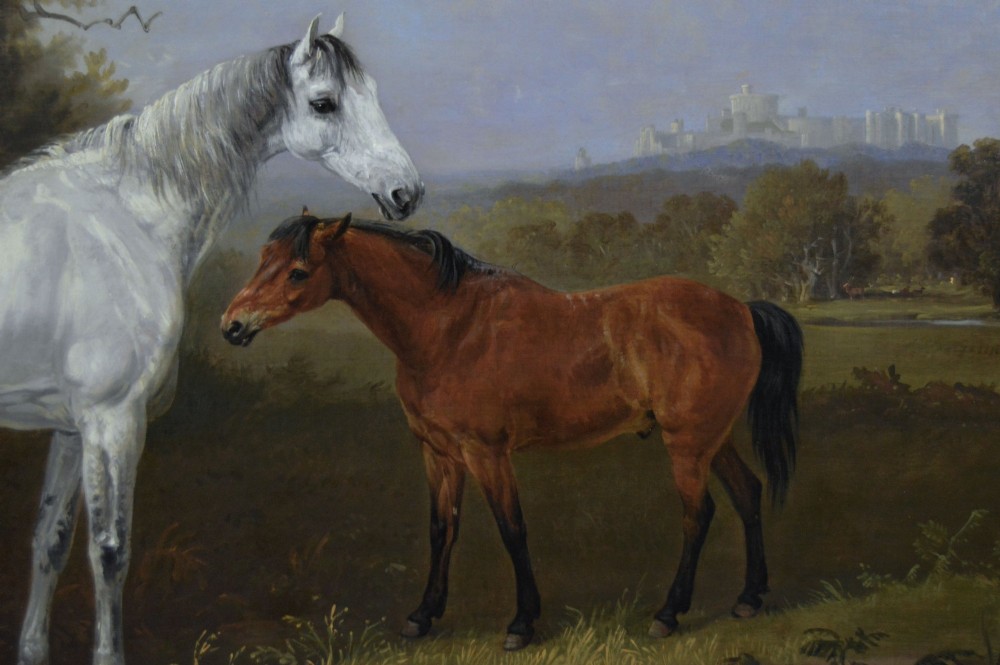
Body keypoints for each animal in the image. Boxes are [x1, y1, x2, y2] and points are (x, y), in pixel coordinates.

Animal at [0, 16, 422, 665]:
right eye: (324, 103)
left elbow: (50, 540)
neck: (126, 218)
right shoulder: (112, 420)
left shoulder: (70, 426)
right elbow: (110, 551)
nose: (406, 192)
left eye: (373, 93)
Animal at [221, 212, 803, 651]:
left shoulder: (487, 454)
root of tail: (741, 309)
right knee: (748, 494)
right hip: (712, 440)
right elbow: (442, 529)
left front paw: (522, 623)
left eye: (298, 272)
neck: (448, 327)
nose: (232, 325)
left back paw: (668, 613)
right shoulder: (438, 454)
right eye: (264, 259)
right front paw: (422, 615)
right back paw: (749, 599)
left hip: (687, 444)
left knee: (697, 515)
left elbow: (511, 529)